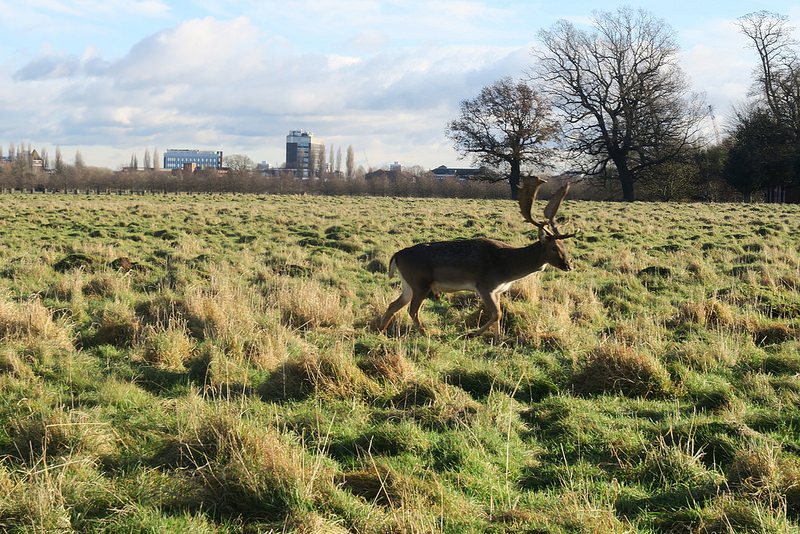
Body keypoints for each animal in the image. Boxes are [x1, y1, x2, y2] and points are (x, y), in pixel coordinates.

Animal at [380, 178, 576, 342]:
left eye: (564, 246)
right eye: (553, 247)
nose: (568, 266)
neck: (507, 268)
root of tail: (396, 255)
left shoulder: (498, 290)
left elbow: (499, 315)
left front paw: (498, 340)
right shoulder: (484, 285)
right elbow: (496, 314)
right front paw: (473, 333)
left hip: (407, 284)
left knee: (393, 305)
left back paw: (381, 331)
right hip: (419, 282)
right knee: (412, 310)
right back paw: (425, 333)